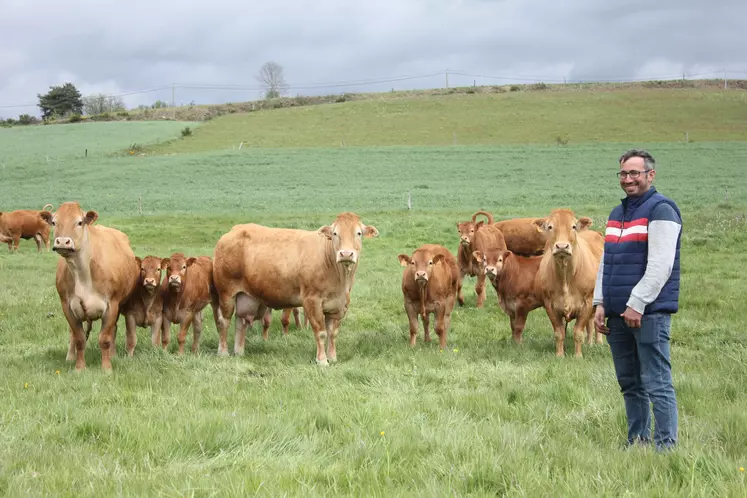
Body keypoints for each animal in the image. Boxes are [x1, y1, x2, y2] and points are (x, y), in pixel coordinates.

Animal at [39, 201, 139, 370]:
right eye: (54, 222)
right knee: (72, 334)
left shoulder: (112, 305)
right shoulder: (67, 306)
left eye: (79, 222)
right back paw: (70, 357)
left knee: (113, 330)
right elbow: (79, 338)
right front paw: (79, 367)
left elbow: (105, 338)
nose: (62, 242)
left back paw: (113, 355)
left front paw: (106, 368)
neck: (83, 273)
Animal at [536, 208, 604, 356]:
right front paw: (560, 355)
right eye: (550, 227)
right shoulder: (549, 305)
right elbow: (559, 333)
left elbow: (578, 333)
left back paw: (598, 342)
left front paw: (578, 356)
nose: (562, 246)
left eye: (573, 226)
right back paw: (589, 343)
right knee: (591, 321)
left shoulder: (587, 302)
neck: (566, 276)